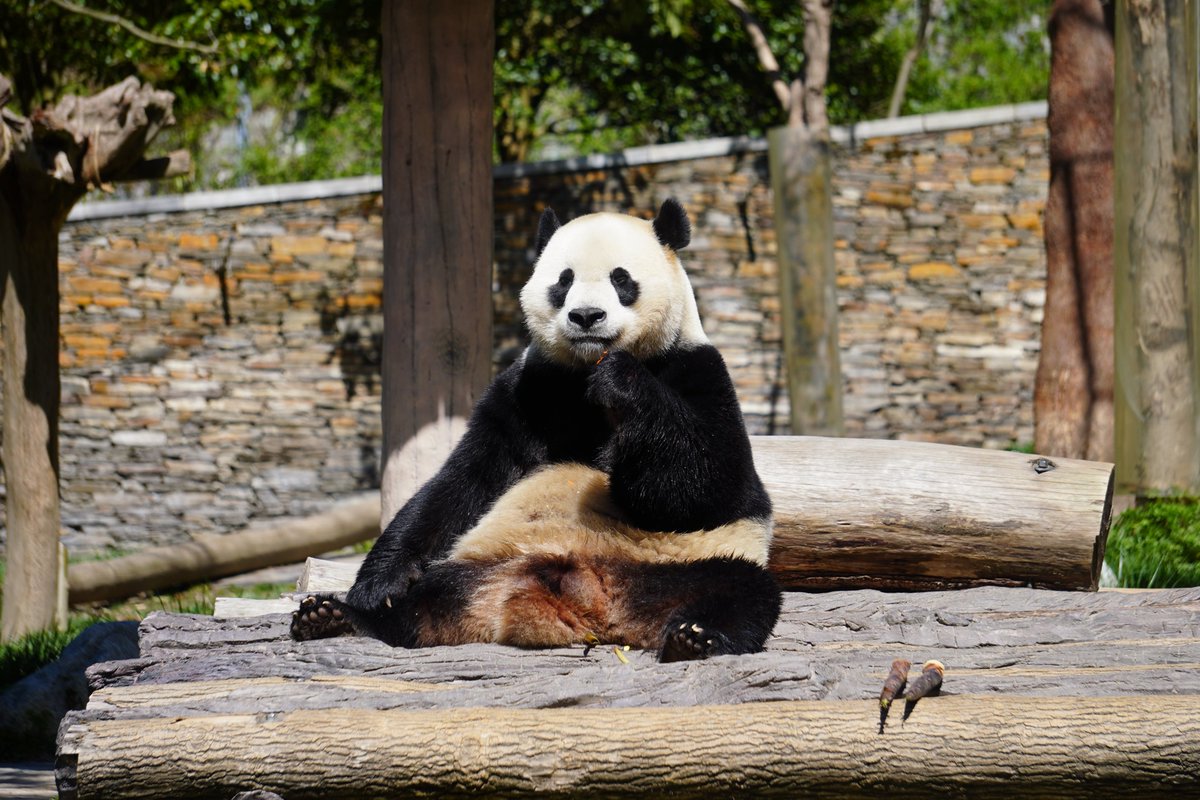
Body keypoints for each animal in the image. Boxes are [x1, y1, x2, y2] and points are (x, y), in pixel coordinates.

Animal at [292, 199, 782, 662]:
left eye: (621, 279)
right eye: (563, 280)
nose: (586, 316)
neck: (583, 370)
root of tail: (587, 605)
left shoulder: (699, 370)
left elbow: (705, 485)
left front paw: (621, 385)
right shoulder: (527, 391)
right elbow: (461, 484)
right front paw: (376, 584)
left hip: (686, 565)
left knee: (743, 590)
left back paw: (695, 638)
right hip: (482, 564)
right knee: (421, 605)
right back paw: (338, 617)